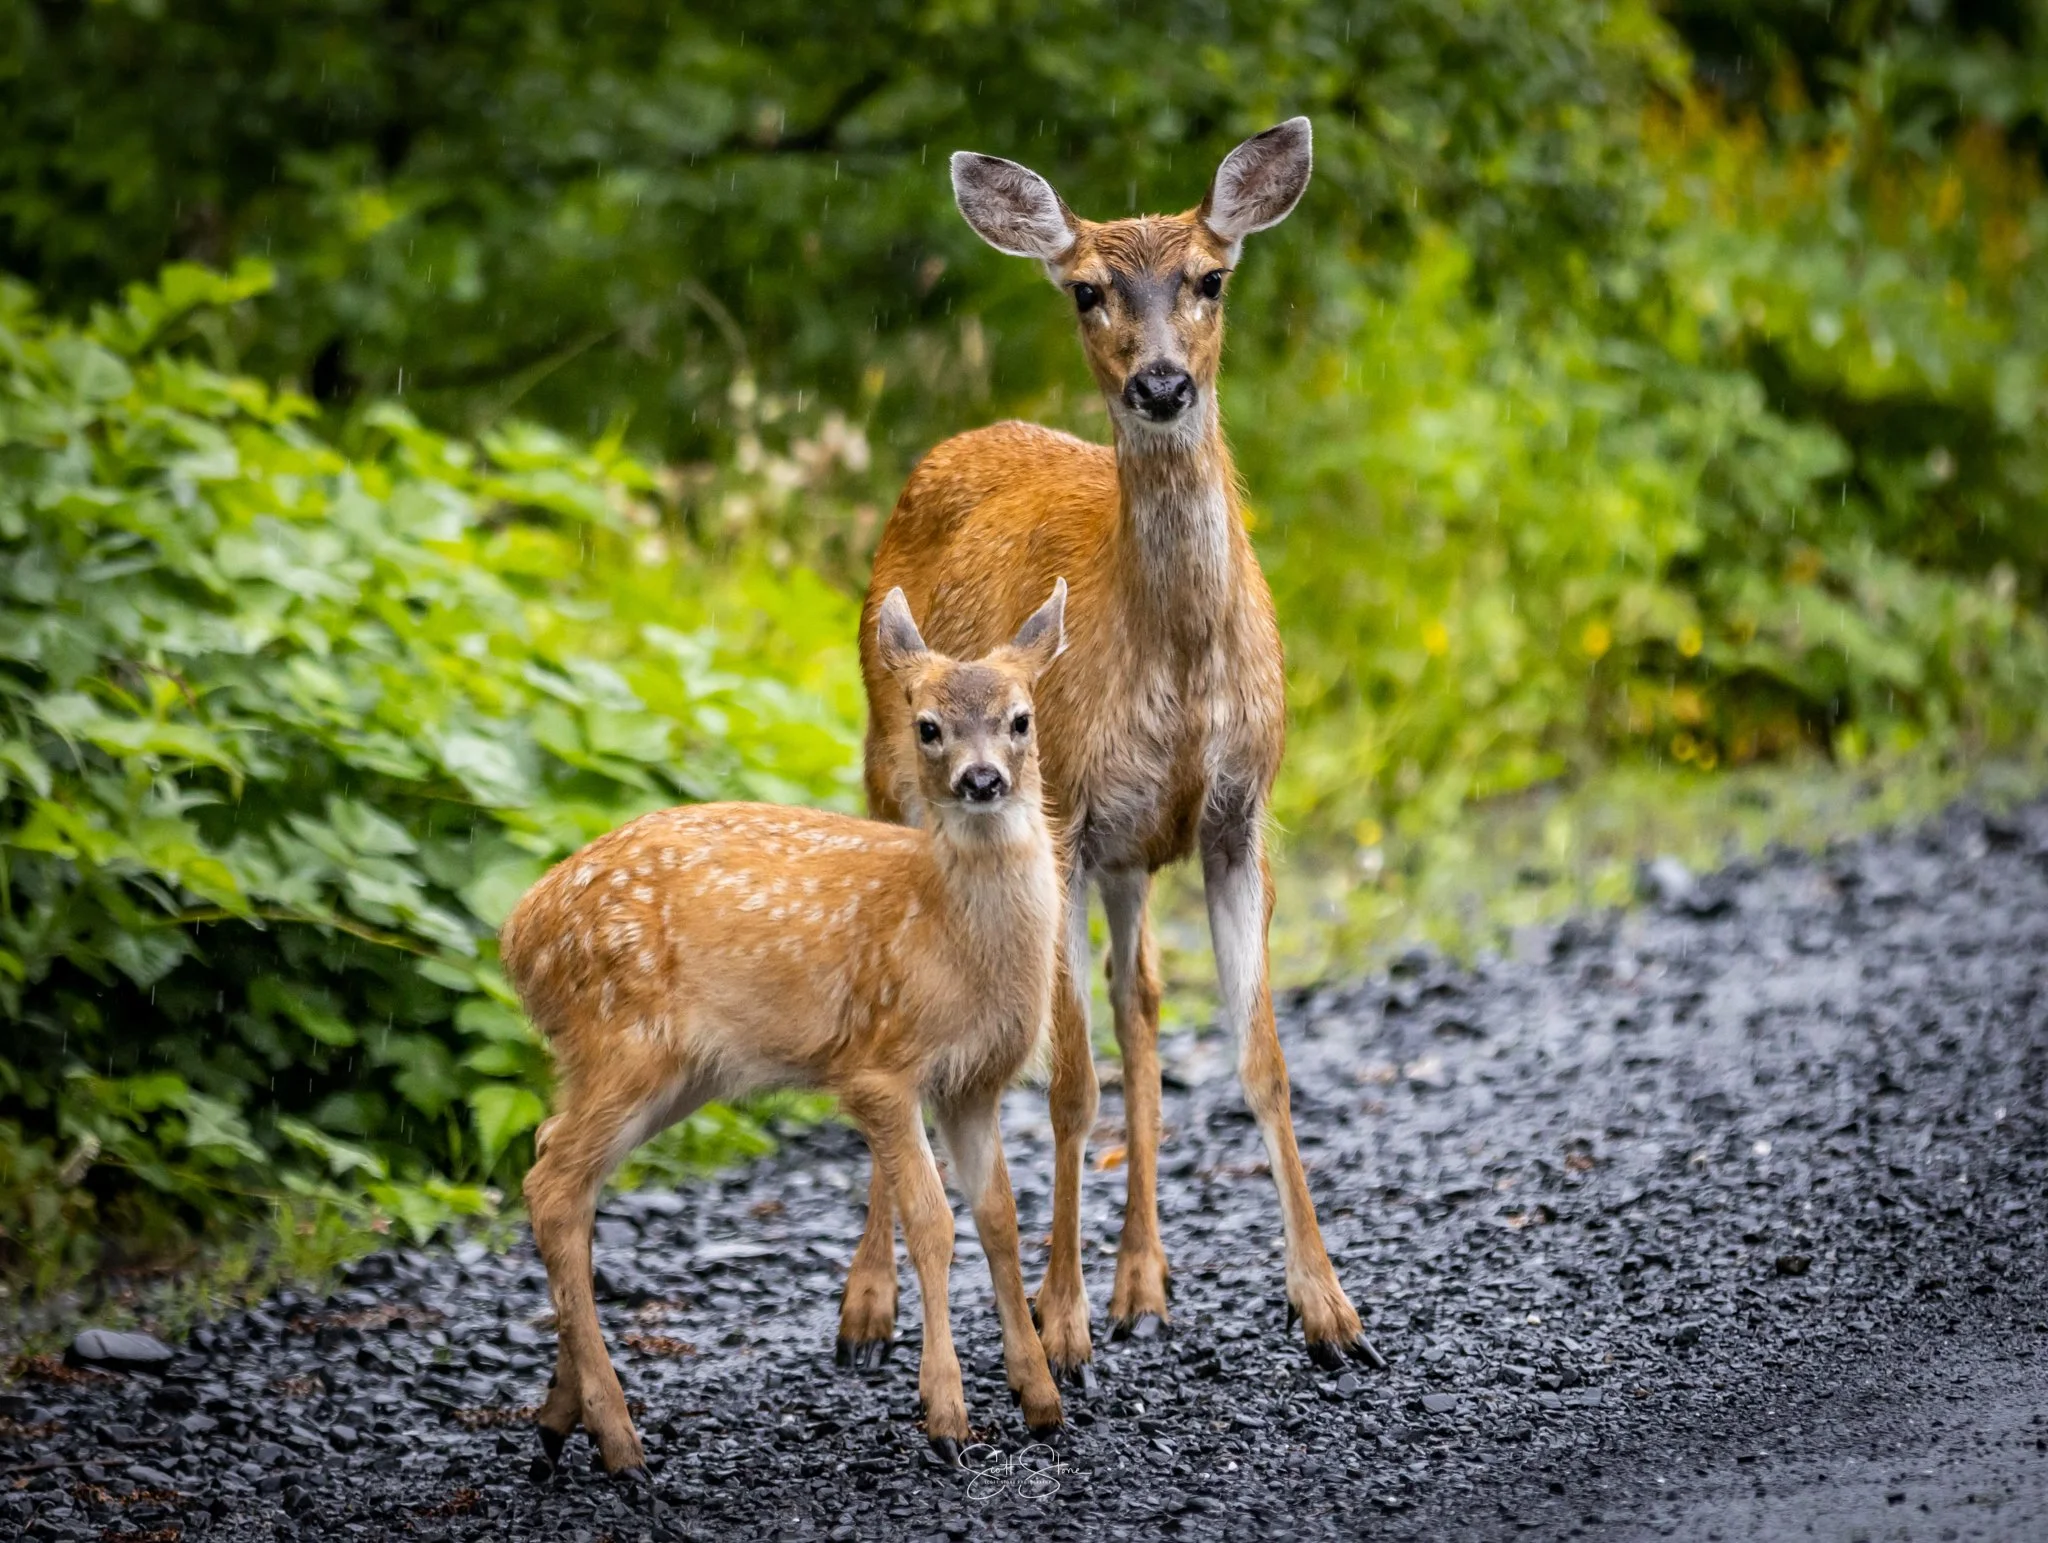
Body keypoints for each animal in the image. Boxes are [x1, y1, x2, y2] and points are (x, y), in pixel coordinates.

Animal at [502, 583, 1071, 1476]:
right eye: (927, 725)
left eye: (1021, 718)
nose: (981, 780)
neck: (948, 934)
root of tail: (518, 933)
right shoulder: (879, 1067)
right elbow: (933, 1223)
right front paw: (947, 1418)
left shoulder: (974, 1081)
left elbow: (1002, 1218)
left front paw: (1041, 1400)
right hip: (624, 1038)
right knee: (552, 1183)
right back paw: (622, 1442)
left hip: (668, 1070)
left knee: (555, 1158)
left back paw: (563, 1422)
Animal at [833, 118, 1384, 1385]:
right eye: (1086, 289)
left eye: (1209, 278)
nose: (1161, 384)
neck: (1171, 651)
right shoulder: (1063, 820)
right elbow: (1068, 1084)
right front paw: (1061, 1317)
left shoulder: (1238, 816)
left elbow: (1257, 1061)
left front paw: (1328, 1309)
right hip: (896, 778)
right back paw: (874, 1304)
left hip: (1135, 854)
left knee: (1140, 1005)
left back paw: (1145, 1277)